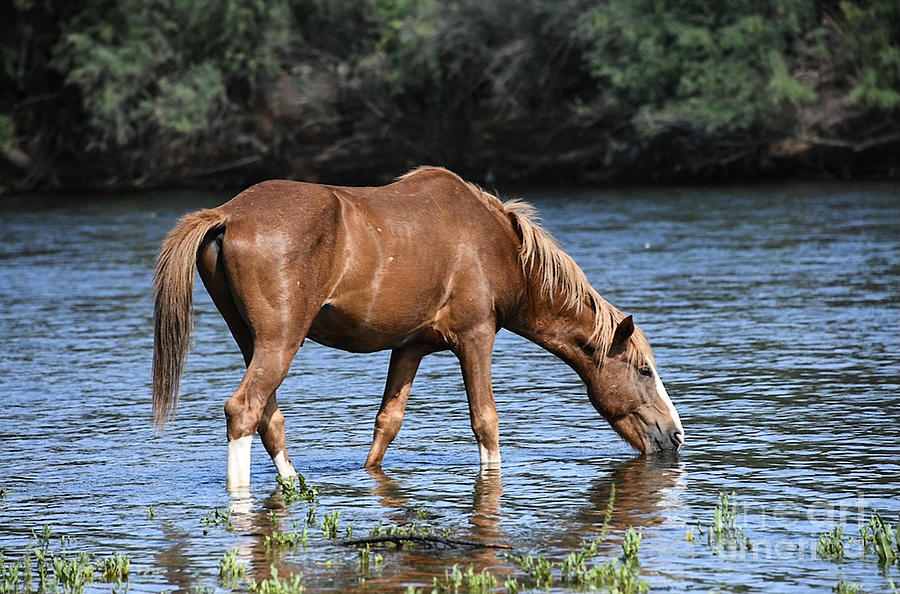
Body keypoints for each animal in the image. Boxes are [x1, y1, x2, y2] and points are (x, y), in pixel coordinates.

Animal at [153, 165, 684, 486]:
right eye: (644, 371)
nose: (675, 436)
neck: (500, 249)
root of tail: (227, 214)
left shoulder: (409, 348)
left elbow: (386, 425)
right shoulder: (476, 337)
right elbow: (486, 423)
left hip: (252, 340)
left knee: (269, 416)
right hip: (280, 340)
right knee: (243, 409)